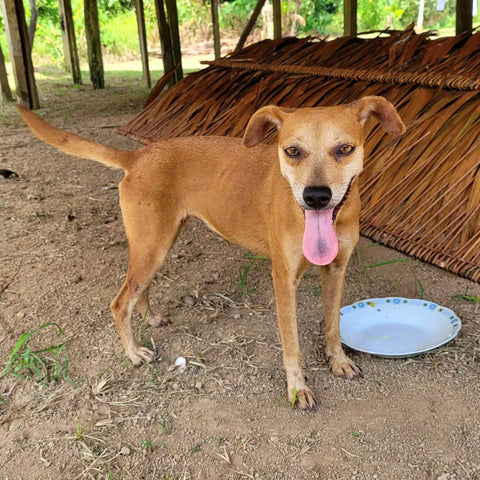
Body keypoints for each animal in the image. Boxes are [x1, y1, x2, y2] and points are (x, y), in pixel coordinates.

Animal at [15, 97, 404, 408]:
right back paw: (134, 352)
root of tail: (138, 154)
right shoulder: (283, 281)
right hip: (152, 246)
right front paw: (297, 389)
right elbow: (292, 345)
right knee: (120, 301)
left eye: (344, 149)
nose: (317, 197)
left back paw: (150, 318)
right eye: (292, 151)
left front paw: (337, 360)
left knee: (139, 290)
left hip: (158, 244)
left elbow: (332, 324)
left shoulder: (336, 270)